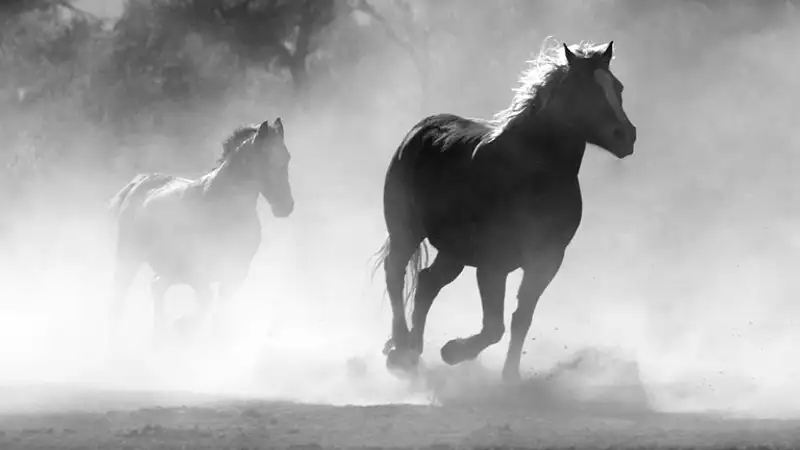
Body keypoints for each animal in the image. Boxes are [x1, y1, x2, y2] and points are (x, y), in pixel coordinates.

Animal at [107, 118, 294, 336]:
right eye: (265, 159)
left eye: (287, 157)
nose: (286, 206)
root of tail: (139, 182)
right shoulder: (196, 272)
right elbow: (207, 301)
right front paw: (182, 324)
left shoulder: (235, 273)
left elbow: (220, 313)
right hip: (129, 258)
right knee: (120, 295)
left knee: (156, 287)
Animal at [376, 40, 636, 382]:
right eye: (584, 89)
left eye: (617, 87)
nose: (626, 136)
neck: (531, 176)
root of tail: (420, 130)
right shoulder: (493, 264)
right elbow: (494, 327)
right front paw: (453, 351)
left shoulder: (546, 261)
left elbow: (520, 318)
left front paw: (510, 376)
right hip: (406, 232)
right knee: (395, 274)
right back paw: (400, 348)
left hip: (454, 252)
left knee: (427, 283)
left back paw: (412, 351)